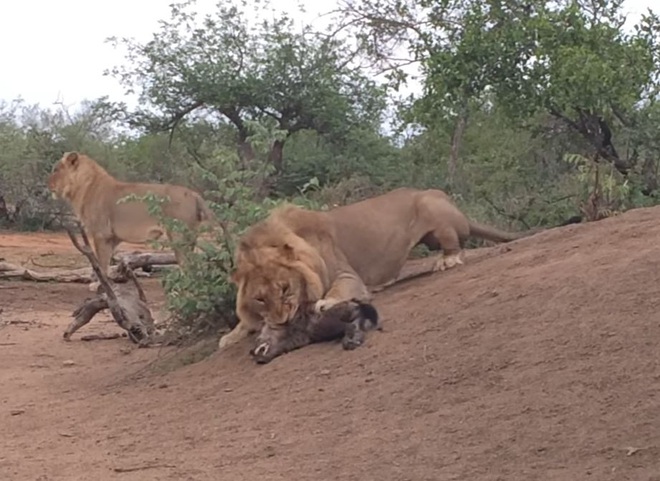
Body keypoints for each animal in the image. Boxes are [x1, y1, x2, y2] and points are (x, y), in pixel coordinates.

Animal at [51, 152, 219, 290]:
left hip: (179, 238)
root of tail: (193, 193)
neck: (83, 187)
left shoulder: (101, 234)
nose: (48, 184)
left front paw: (100, 285)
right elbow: (107, 261)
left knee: (188, 266)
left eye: (55, 169)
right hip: (189, 238)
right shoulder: (112, 237)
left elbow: (101, 262)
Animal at [219, 187, 528, 348]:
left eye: (285, 289)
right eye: (260, 299)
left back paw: (447, 260)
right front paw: (231, 335)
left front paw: (324, 304)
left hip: (432, 207)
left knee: (453, 244)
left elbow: (336, 291)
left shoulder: (346, 274)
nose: (282, 322)